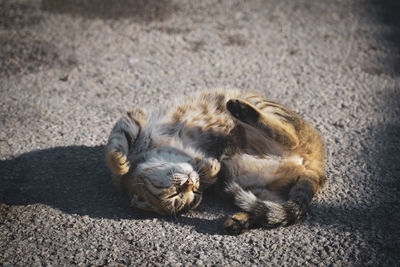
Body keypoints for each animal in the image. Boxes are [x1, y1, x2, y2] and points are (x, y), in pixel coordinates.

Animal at [104, 89, 324, 234]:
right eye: (177, 196)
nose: (190, 183)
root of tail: (318, 167)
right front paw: (208, 170)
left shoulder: (134, 120)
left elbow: (114, 147)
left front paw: (120, 163)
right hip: (255, 186)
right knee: (268, 210)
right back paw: (240, 221)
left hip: (267, 110)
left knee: (289, 135)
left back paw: (241, 109)